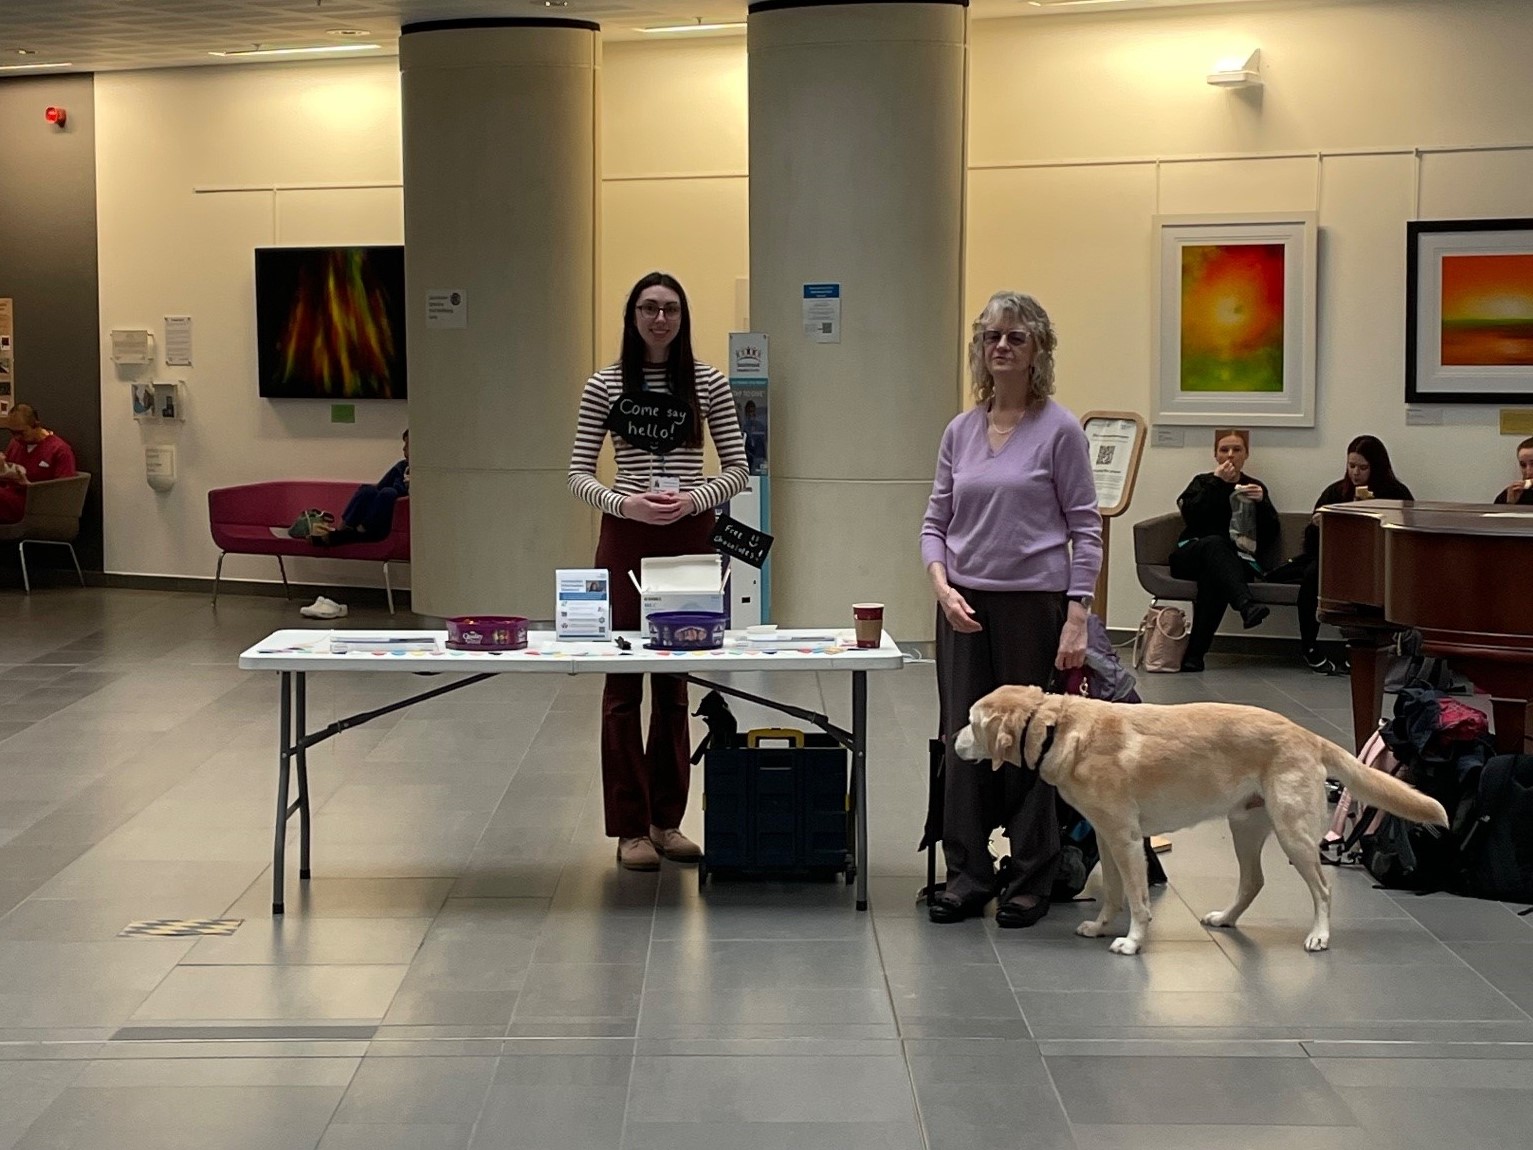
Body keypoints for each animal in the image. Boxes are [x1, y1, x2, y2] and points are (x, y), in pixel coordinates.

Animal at [956, 690, 1447, 956]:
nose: (953, 740)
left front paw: (1132, 942)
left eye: (971, 721)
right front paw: (1100, 927)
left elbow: (1138, 901)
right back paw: (1226, 918)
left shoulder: (1128, 841)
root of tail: (1307, 734)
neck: (1057, 727)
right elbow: (1113, 894)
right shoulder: (1108, 838)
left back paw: (1319, 936)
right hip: (1245, 828)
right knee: (1253, 882)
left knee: (1323, 890)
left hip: (1294, 834)